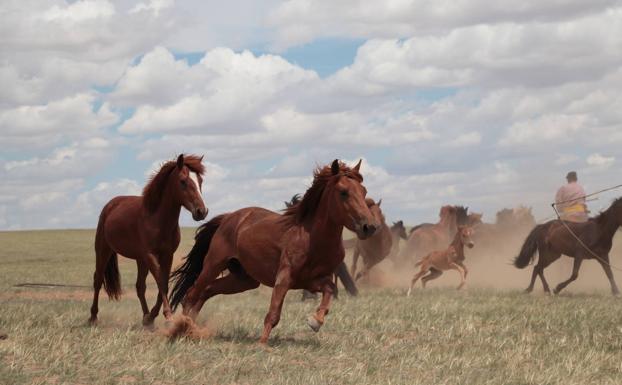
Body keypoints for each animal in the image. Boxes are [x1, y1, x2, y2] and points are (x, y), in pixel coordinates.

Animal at [89, 153, 210, 324]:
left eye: (200, 181)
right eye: (183, 181)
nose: (202, 212)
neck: (157, 219)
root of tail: (111, 205)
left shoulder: (167, 255)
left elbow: (163, 283)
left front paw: (153, 315)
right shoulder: (150, 255)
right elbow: (161, 282)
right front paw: (167, 315)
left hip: (140, 260)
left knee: (140, 287)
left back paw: (146, 319)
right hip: (103, 250)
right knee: (98, 280)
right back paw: (93, 317)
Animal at [168, 158, 380, 342]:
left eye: (363, 191)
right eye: (343, 192)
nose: (369, 227)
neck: (312, 238)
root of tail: (229, 217)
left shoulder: (312, 281)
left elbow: (330, 290)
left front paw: (315, 321)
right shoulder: (284, 278)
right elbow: (273, 314)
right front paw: (262, 345)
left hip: (244, 280)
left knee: (207, 291)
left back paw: (191, 328)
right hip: (214, 264)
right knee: (192, 294)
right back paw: (181, 328)